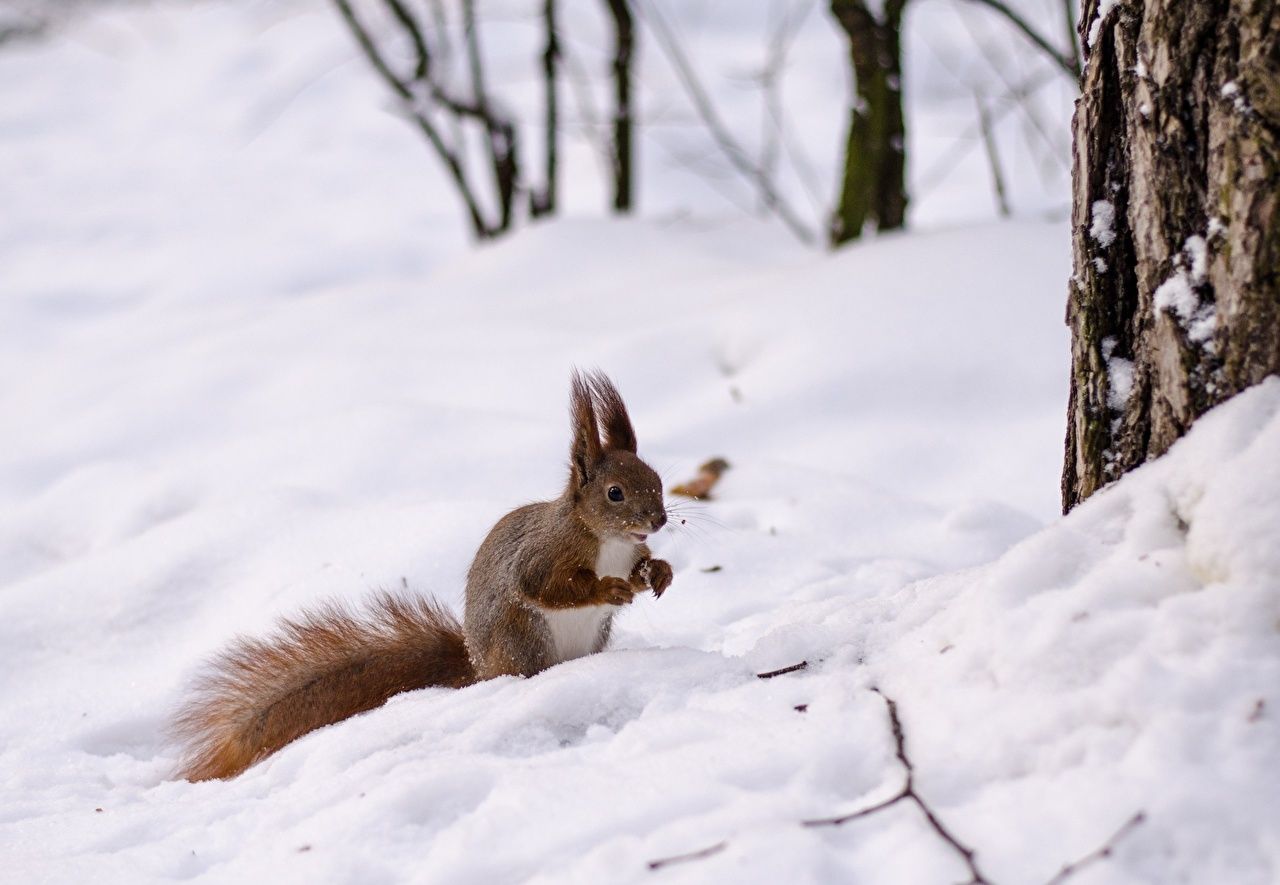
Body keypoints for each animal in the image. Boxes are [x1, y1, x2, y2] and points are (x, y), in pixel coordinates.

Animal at [172, 370, 674, 781]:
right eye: (614, 493)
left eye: (657, 479)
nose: (660, 520)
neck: (607, 539)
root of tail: (478, 668)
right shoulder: (542, 556)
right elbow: (547, 587)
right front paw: (609, 587)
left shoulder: (630, 551)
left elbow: (641, 566)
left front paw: (660, 573)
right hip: (522, 636)